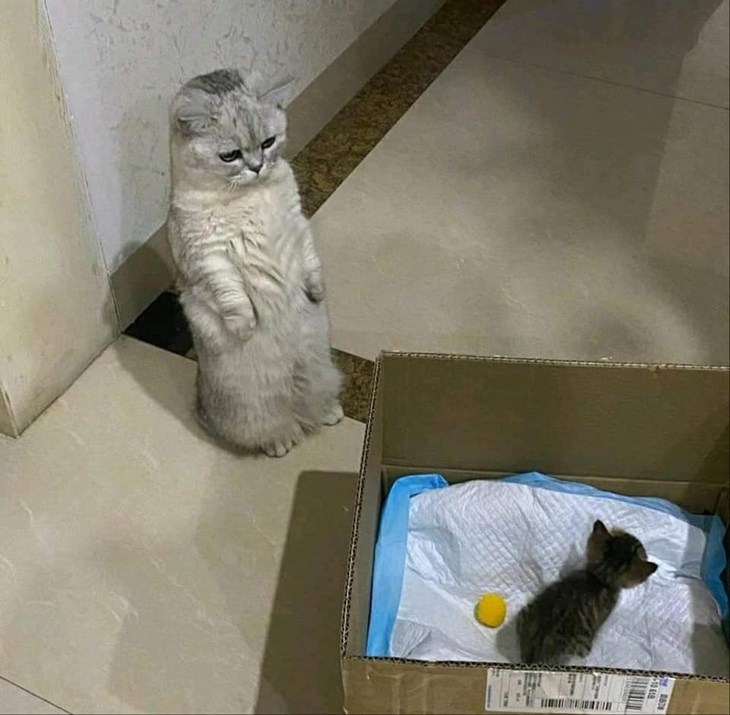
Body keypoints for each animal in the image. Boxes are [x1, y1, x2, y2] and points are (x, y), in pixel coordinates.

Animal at [166, 69, 343, 457]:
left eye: (268, 143)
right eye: (230, 155)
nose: (258, 167)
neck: (250, 195)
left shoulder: (298, 222)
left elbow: (311, 261)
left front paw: (317, 290)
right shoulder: (211, 257)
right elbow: (233, 296)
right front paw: (245, 325)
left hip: (322, 372)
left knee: (314, 403)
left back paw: (328, 413)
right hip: (255, 407)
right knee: (273, 427)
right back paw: (281, 441)